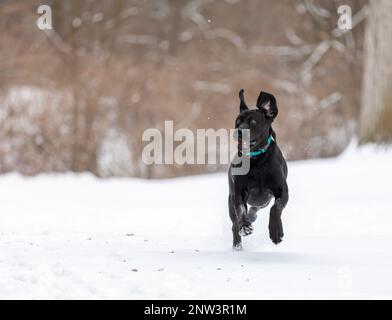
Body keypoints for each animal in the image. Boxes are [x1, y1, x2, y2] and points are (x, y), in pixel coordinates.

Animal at [230, 89, 288, 250]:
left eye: (253, 122)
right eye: (238, 121)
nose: (238, 132)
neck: (257, 162)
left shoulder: (282, 191)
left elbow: (276, 208)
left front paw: (276, 232)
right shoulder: (239, 192)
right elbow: (240, 211)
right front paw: (245, 226)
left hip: (264, 201)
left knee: (257, 209)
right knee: (234, 224)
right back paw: (237, 245)